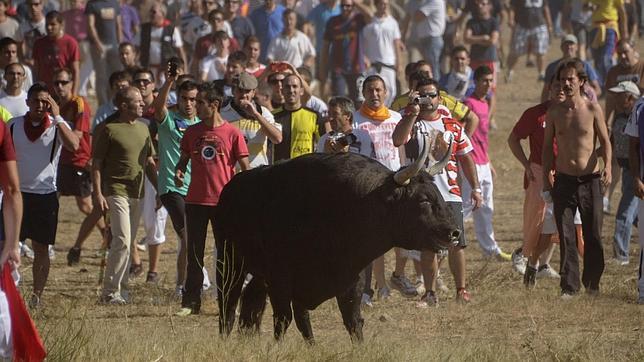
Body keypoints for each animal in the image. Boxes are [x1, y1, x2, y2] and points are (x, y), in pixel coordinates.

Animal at [215, 144, 458, 342]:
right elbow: (283, 319)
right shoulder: (280, 279)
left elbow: (353, 322)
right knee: (228, 305)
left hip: (257, 274)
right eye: (423, 200)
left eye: (438, 194)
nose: (454, 232)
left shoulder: (351, 281)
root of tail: (230, 188)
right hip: (229, 263)